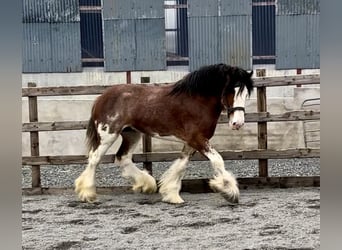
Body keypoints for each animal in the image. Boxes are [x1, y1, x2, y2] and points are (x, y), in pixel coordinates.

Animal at [75, 63, 254, 204]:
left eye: (246, 93)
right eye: (231, 90)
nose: (238, 123)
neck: (197, 101)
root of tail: (101, 97)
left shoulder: (192, 141)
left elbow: (181, 165)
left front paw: (171, 194)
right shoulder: (197, 139)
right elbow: (218, 160)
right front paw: (229, 192)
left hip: (131, 134)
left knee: (122, 158)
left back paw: (147, 184)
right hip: (108, 134)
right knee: (94, 158)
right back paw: (87, 193)